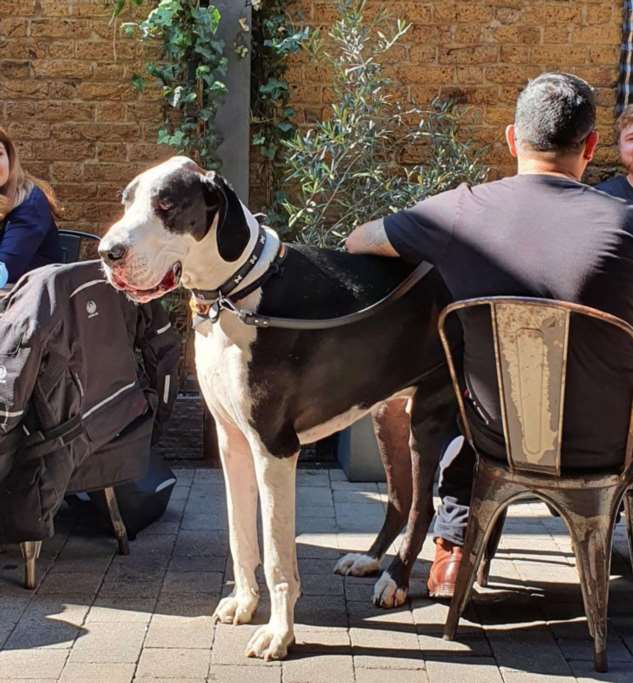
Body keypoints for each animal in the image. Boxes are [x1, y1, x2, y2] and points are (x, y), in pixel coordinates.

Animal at [101, 156, 462, 664]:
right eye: (126, 200)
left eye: (167, 204)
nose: (108, 253)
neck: (234, 294)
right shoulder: (232, 442)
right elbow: (240, 536)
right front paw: (244, 603)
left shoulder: (275, 449)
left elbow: (275, 555)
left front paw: (279, 633)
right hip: (387, 414)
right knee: (399, 497)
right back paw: (370, 560)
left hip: (428, 417)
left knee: (422, 506)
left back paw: (395, 579)